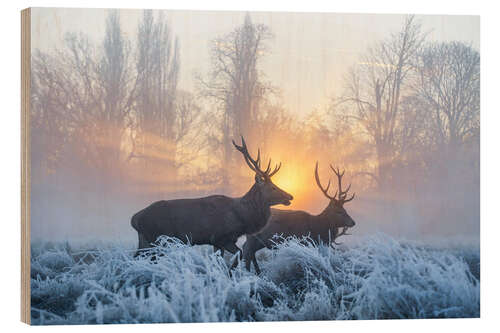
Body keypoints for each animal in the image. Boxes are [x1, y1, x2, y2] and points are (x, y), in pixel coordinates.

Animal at [130, 136, 292, 268]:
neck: (242, 218)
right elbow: (238, 255)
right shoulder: (222, 237)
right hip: (157, 239)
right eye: (272, 187)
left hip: (144, 240)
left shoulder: (217, 242)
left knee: (135, 258)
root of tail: (135, 219)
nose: (290, 196)